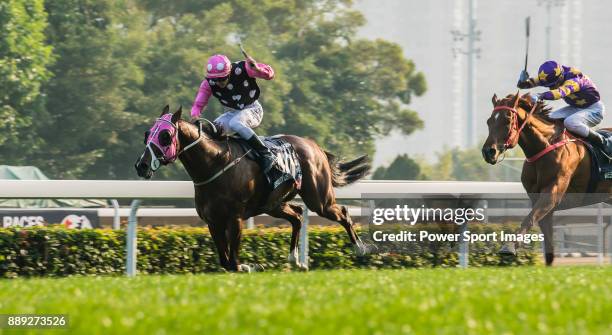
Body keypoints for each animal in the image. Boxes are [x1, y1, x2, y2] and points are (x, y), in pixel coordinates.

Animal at [136, 106, 370, 272]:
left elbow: (233, 261)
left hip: (319, 199)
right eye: (147, 134)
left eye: (165, 136)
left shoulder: (235, 217)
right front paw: (252, 265)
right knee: (297, 216)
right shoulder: (213, 221)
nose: (142, 165)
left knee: (342, 213)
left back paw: (361, 248)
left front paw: (252, 265)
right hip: (273, 204)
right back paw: (296, 260)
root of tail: (314, 145)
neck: (215, 163)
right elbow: (225, 261)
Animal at [486, 93, 608, 266]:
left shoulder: (552, 194)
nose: (488, 152)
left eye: (507, 119)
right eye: (489, 121)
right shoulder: (538, 199)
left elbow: (530, 218)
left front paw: (508, 247)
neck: (545, 147)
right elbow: (547, 239)